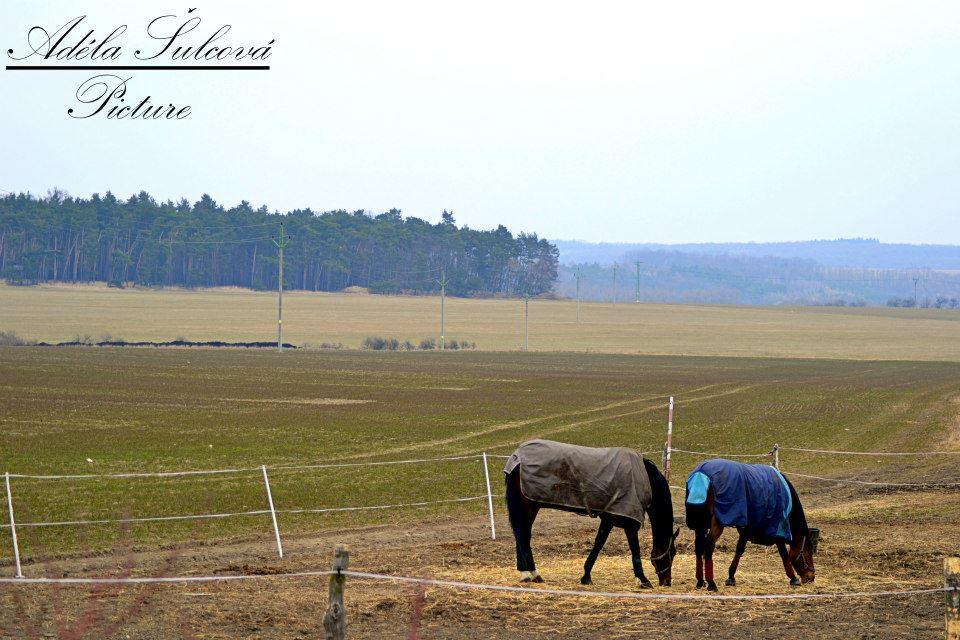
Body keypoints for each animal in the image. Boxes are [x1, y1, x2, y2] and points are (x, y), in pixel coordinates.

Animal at [506, 440, 680, 592]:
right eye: (672, 552)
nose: (666, 582)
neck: (643, 478)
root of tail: (516, 457)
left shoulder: (609, 519)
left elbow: (598, 545)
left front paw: (586, 576)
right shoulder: (629, 523)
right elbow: (634, 551)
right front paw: (643, 580)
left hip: (530, 508)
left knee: (523, 536)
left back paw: (529, 575)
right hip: (526, 506)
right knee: (522, 536)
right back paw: (530, 574)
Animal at [684, 458, 816, 592]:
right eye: (808, 552)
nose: (811, 577)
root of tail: (701, 474)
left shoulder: (747, 528)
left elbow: (739, 550)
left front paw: (731, 577)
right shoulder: (776, 527)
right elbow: (783, 553)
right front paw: (793, 578)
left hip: (700, 523)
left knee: (699, 547)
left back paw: (700, 581)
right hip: (717, 523)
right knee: (709, 545)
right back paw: (711, 583)